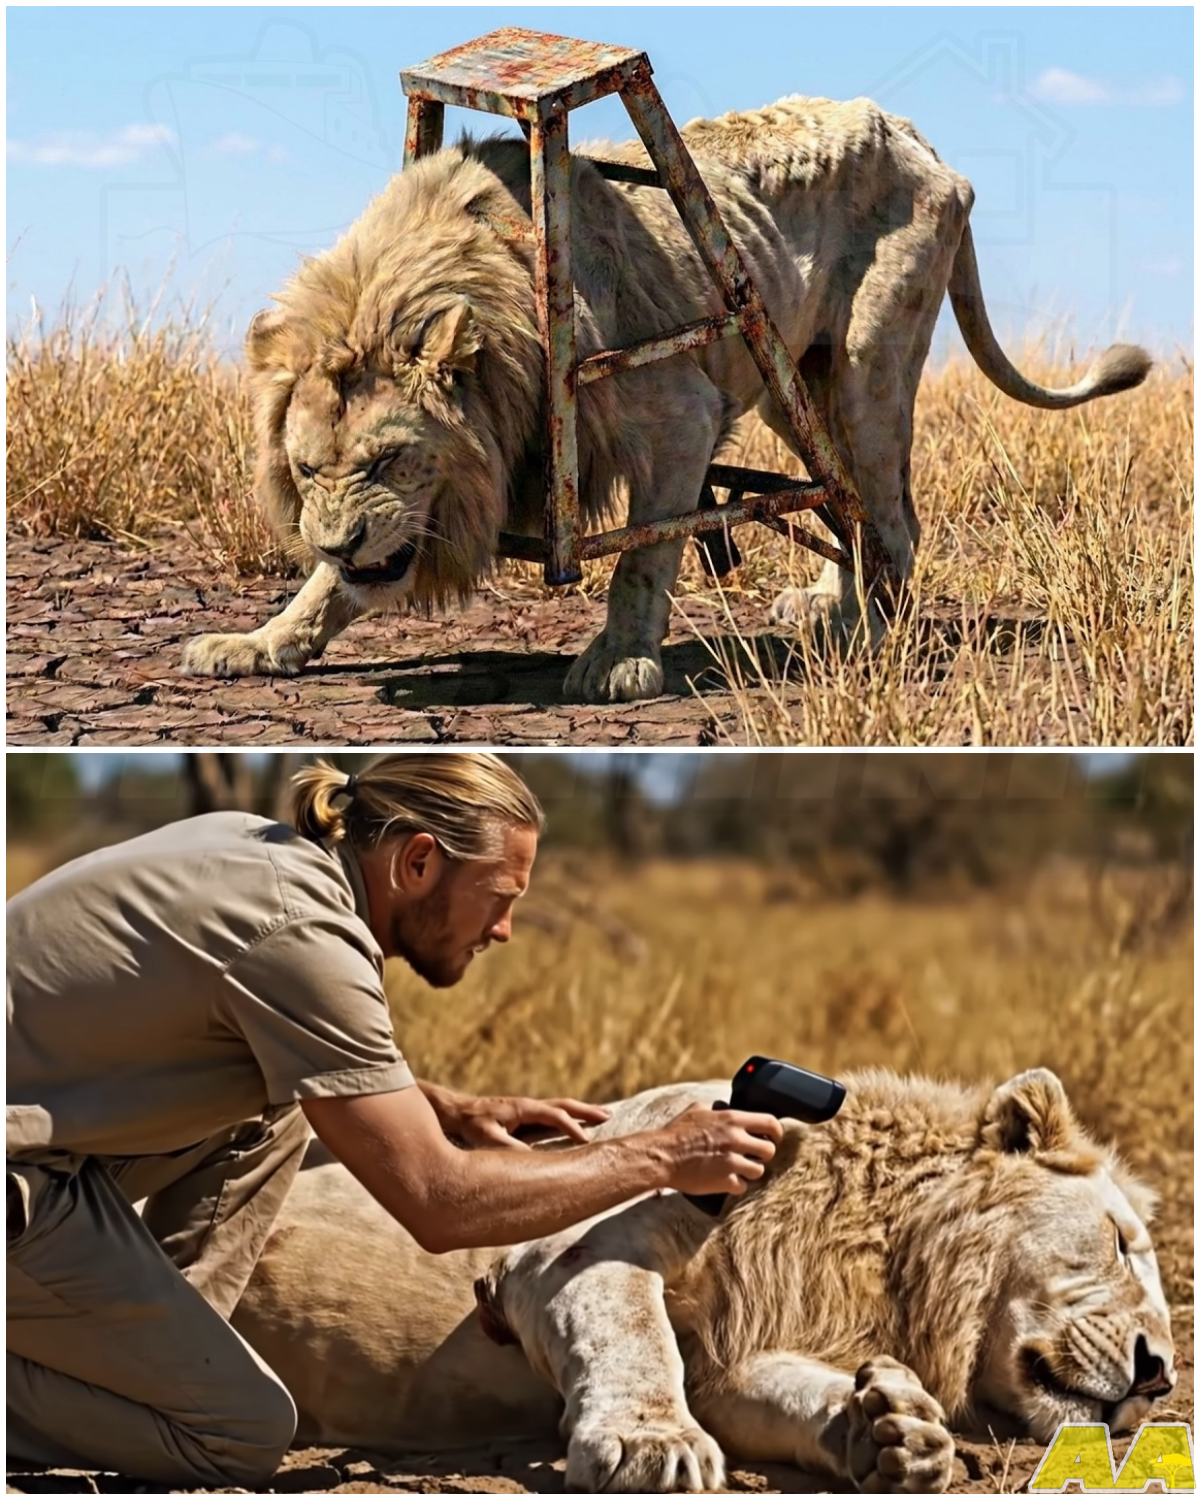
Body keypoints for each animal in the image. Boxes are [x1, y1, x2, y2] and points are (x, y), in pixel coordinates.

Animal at [181, 96, 1150, 703]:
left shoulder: (681, 418)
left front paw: (616, 665)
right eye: (308, 470)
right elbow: (328, 591)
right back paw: (826, 603)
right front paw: (259, 642)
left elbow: (644, 559)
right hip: (795, 379)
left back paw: (865, 631)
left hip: (867, 360)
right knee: (853, 501)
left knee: (890, 515)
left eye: (389, 459)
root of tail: (916, 135)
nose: (339, 538)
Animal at [231, 1067, 1176, 1493]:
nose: (1161, 1377)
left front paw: (899, 1431)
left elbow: (787, 1395)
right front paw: (653, 1447)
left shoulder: (737, 1353)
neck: (880, 1249)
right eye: (1119, 1241)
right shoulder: (561, 1253)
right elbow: (633, 1332)